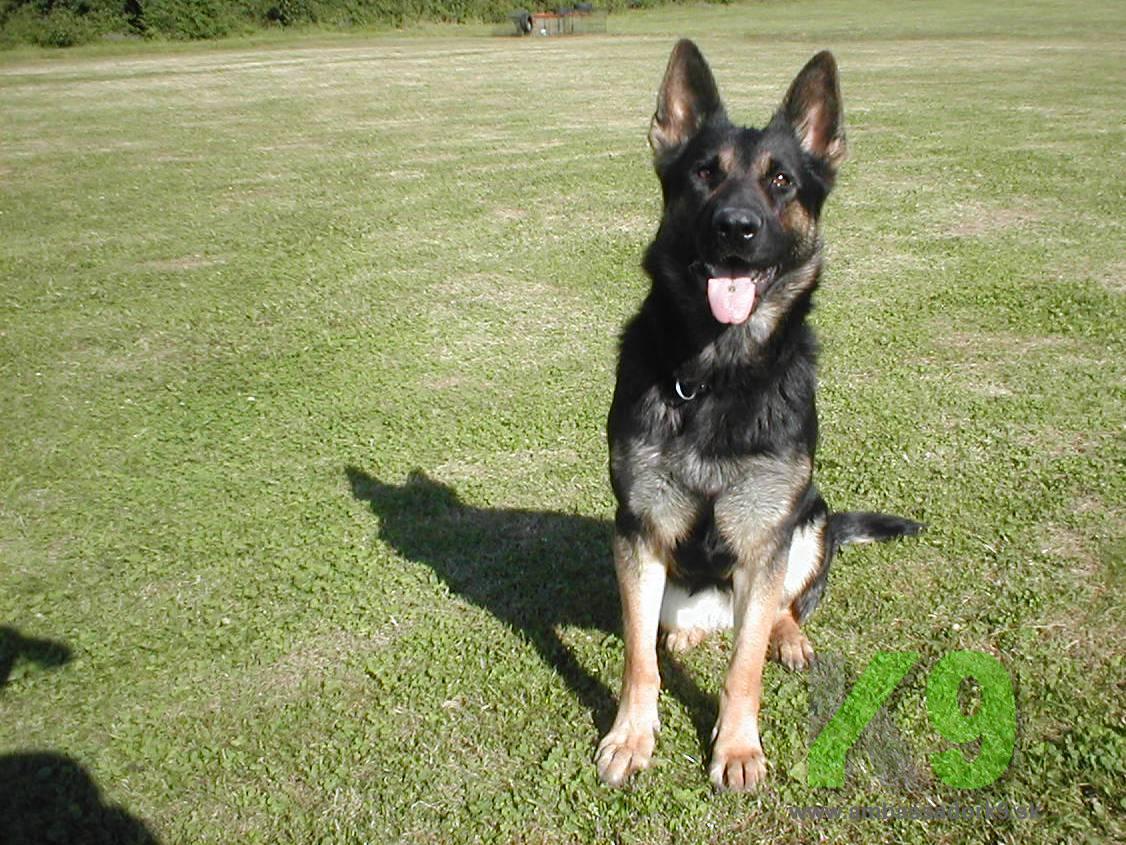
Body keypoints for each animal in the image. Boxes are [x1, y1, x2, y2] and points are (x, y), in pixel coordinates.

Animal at [596, 41, 923, 792]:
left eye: (780, 181)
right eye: (703, 175)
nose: (736, 228)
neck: (718, 375)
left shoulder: (766, 533)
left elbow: (743, 664)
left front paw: (738, 747)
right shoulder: (638, 530)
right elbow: (639, 658)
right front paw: (632, 735)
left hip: (810, 522)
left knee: (778, 610)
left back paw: (790, 637)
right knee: (676, 627)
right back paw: (687, 630)